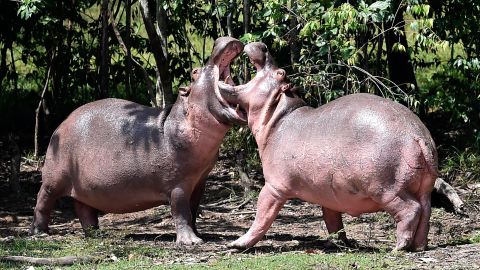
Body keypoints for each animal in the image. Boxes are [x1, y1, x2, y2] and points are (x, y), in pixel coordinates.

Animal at [30, 36, 246, 245]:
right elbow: (181, 212)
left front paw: (200, 235)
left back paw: (97, 234)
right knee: (43, 200)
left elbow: (193, 211)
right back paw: (40, 233)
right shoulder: (177, 185)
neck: (182, 119)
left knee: (84, 208)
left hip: (85, 186)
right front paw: (191, 242)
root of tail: (63, 122)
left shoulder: (200, 181)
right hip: (54, 179)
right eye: (195, 72)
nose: (219, 40)